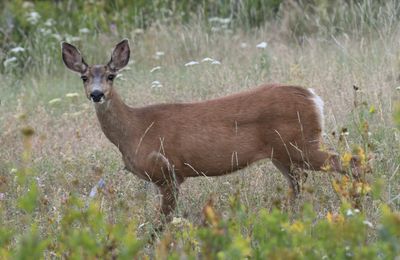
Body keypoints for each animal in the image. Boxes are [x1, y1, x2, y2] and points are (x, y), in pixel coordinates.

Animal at [60, 39, 362, 222]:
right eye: (84, 77)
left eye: (111, 76)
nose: (97, 94)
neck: (134, 129)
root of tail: (313, 97)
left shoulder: (167, 172)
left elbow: (163, 222)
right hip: (284, 154)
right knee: (299, 183)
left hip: (302, 143)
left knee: (350, 161)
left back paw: (358, 204)